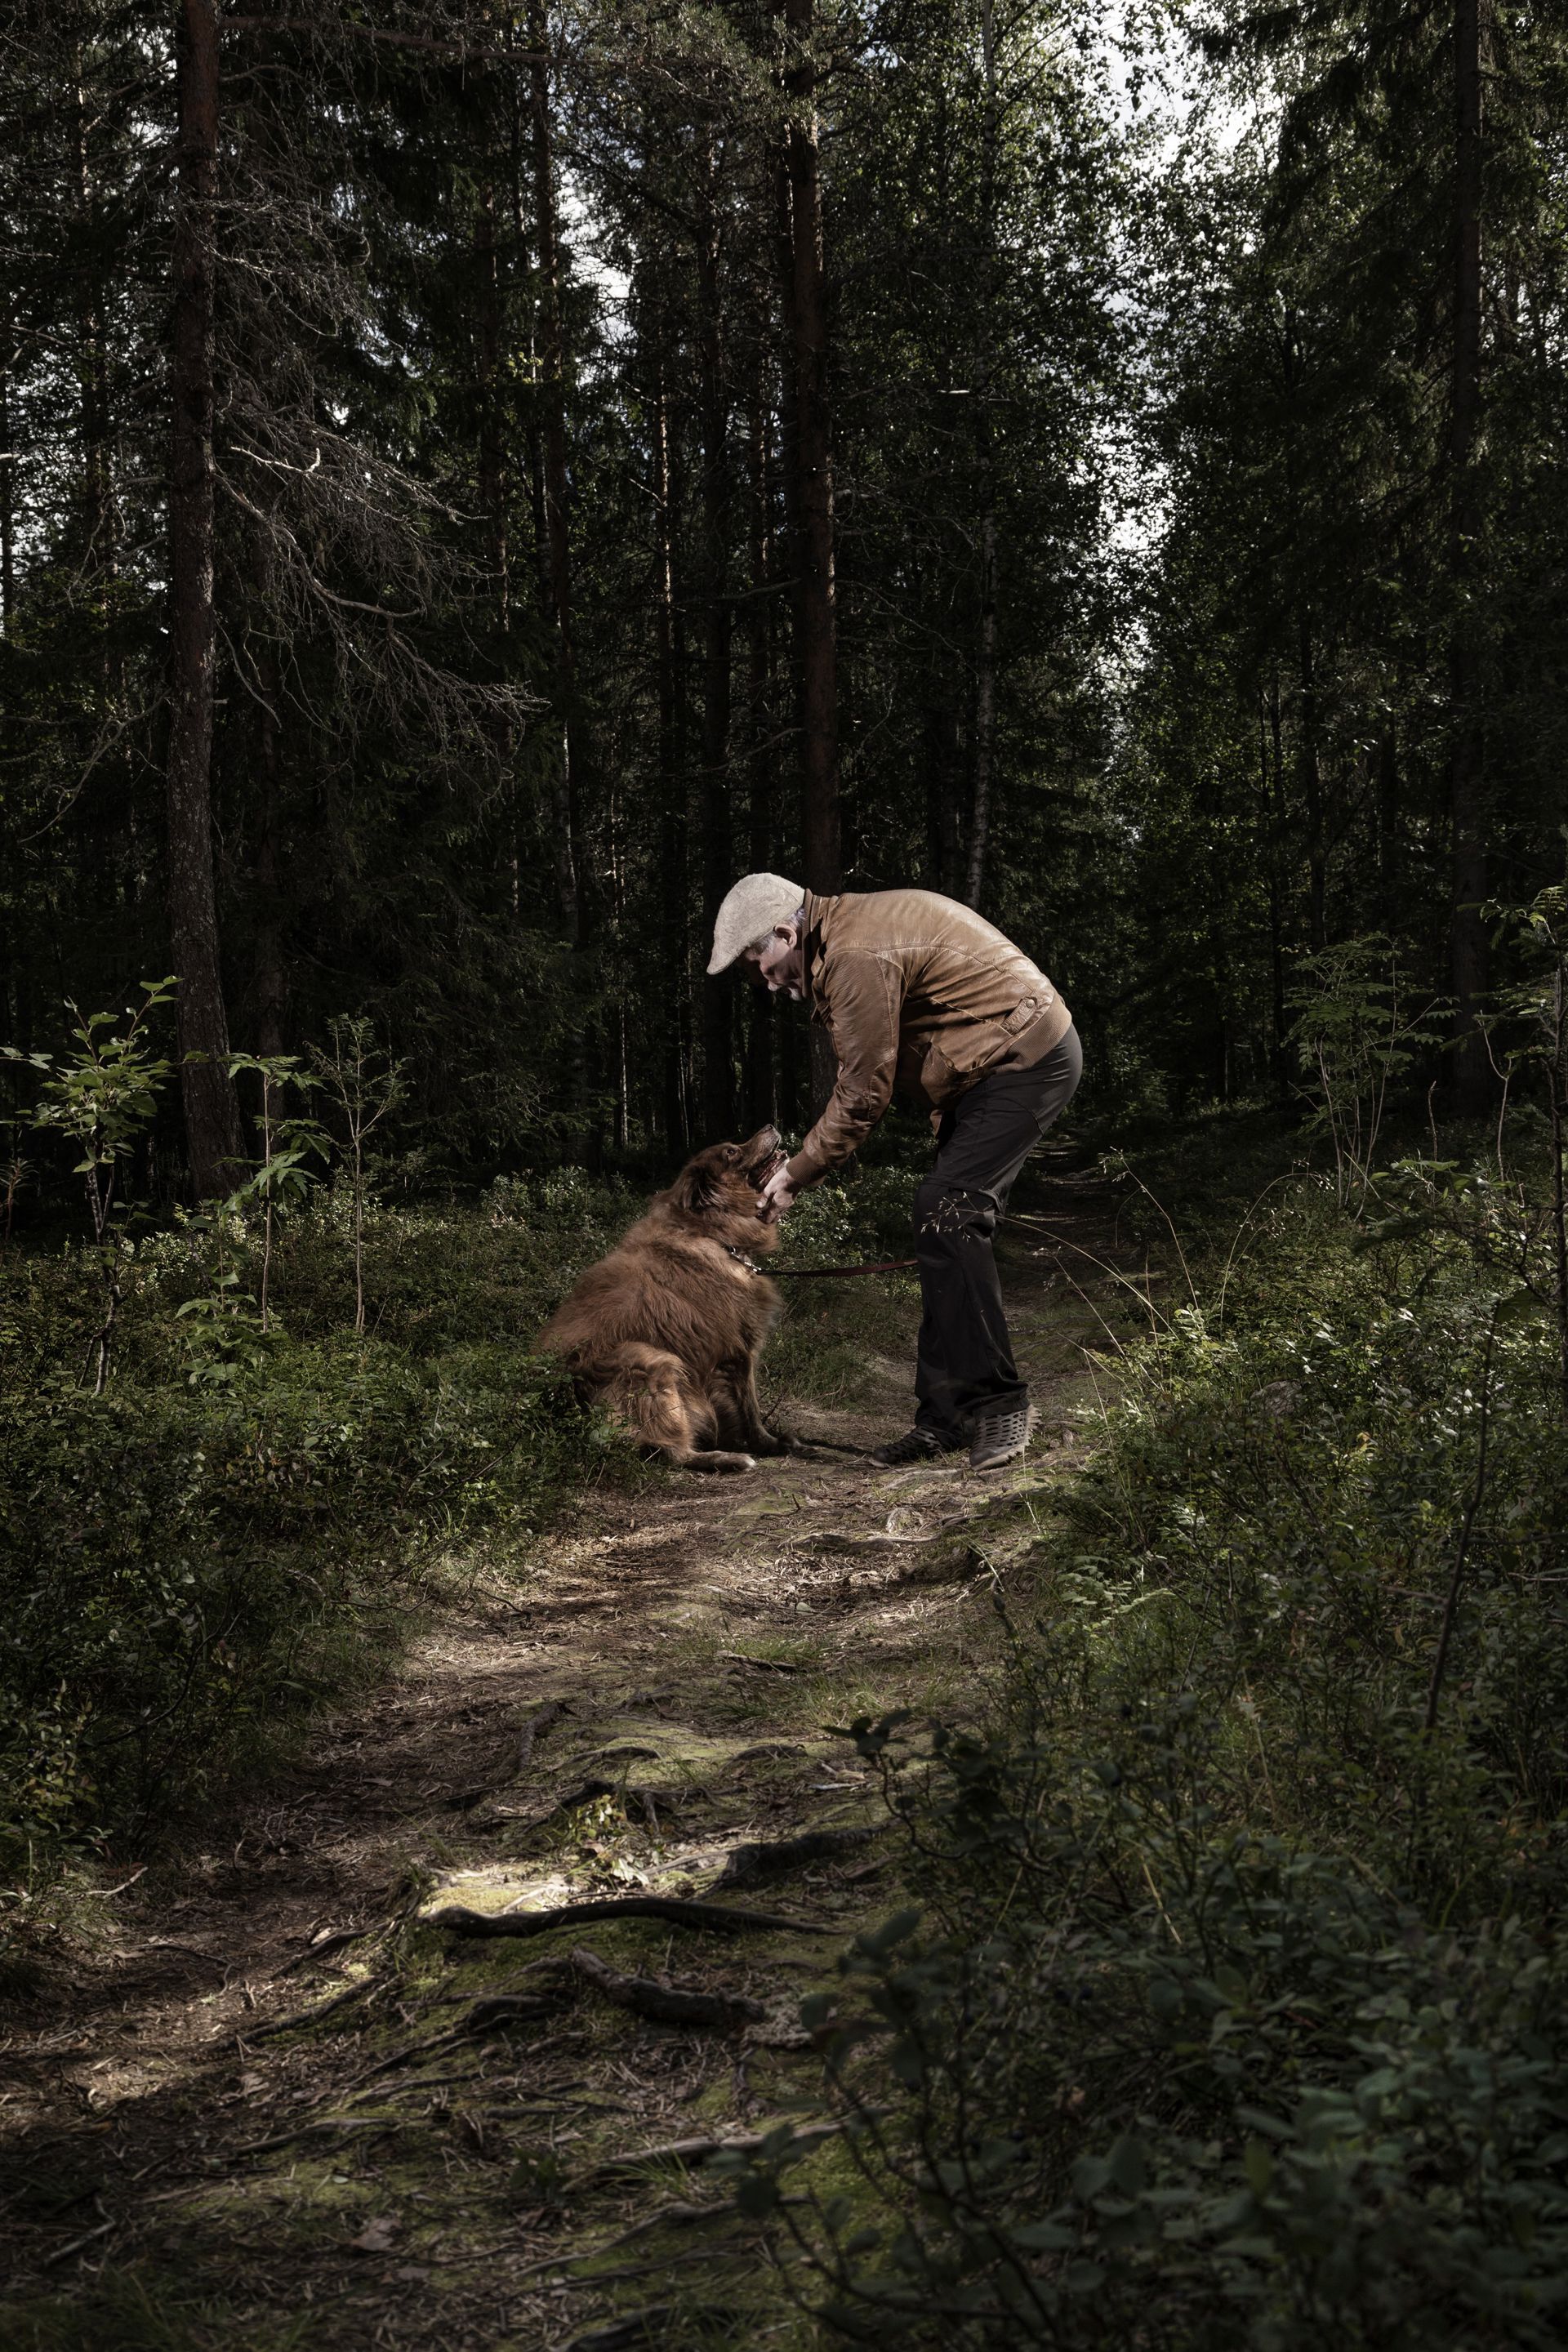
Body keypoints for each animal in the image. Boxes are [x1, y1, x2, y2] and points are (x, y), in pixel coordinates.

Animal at [541, 1124, 790, 1468]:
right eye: (731, 1151)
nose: (770, 1125)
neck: (708, 1232)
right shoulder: (737, 1351)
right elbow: (749, 1409)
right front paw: (767, 1444)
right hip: (652, 1362)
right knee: (672, 1451)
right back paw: (728, 1458)